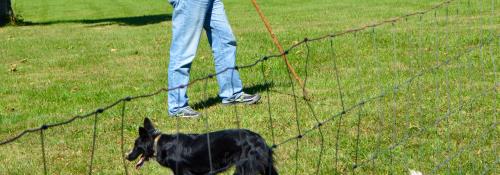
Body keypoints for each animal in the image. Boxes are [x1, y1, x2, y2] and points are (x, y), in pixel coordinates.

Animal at [125, 117, 278, 175]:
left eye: (136, 145)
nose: (127, 157)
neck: (160, 144)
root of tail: (260, 139)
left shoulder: (182, 171)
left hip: (245, 167)